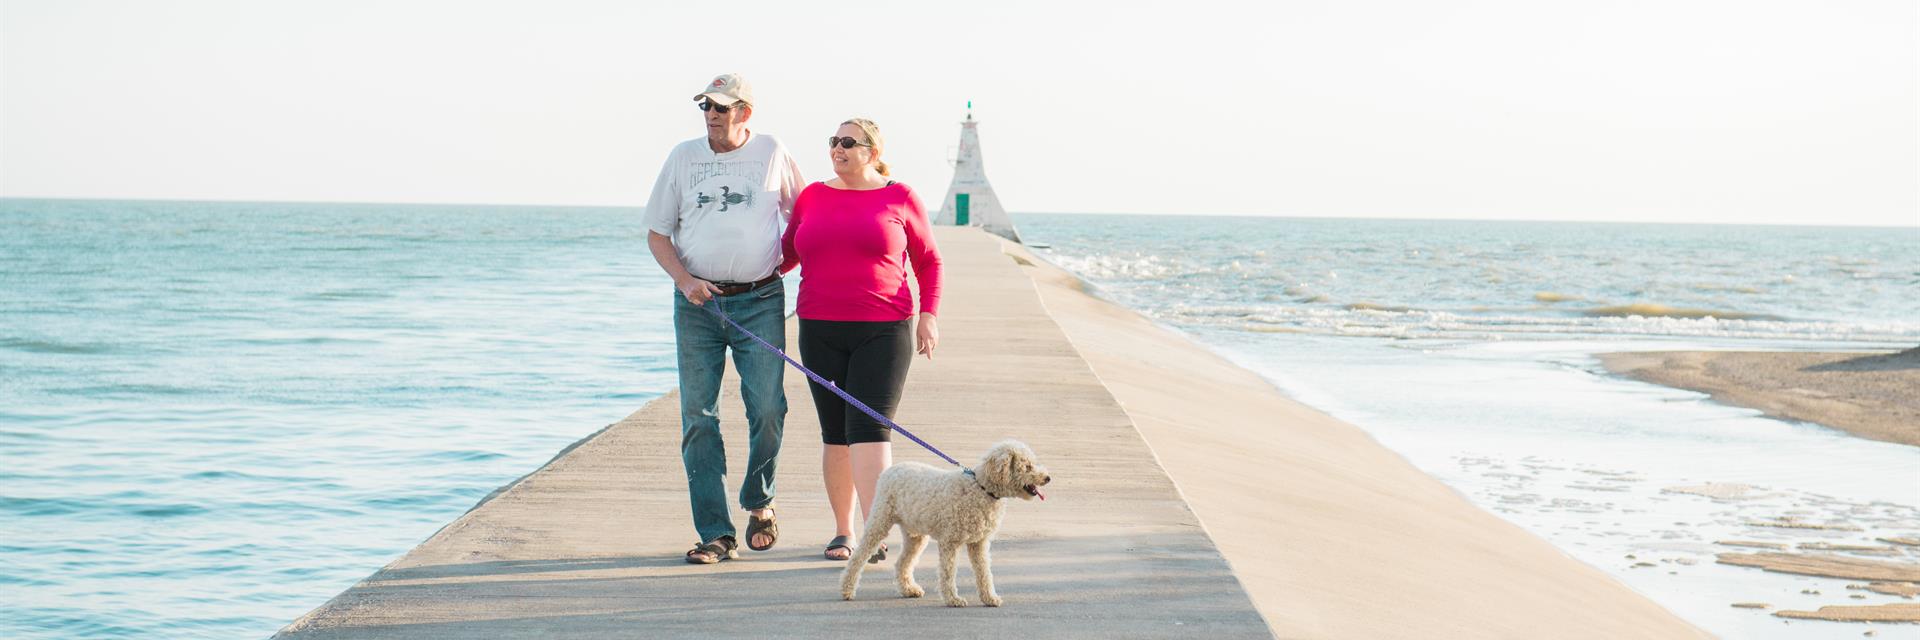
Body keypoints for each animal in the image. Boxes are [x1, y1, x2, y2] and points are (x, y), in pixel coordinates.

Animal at [840, 436, 1052, 607]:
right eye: (1027, 466)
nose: (1048, 478)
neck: (982, 488)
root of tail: (889, 471)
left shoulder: (979, 543)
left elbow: (984, 573)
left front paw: (989, 598)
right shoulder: (950, 542)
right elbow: (948, 572)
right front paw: (953, 599)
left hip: (915, 535)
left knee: (902, 562)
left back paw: (909, 589)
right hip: (880, 521)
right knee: (858, 556)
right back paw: (847, 589)